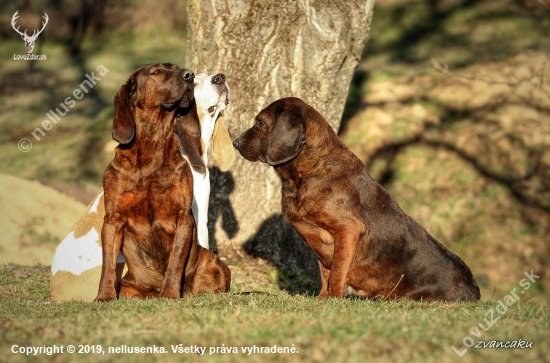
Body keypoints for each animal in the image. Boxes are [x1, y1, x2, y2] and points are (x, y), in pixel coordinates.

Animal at [233, 97, 484, 304]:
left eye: (259, 123)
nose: (234, 142)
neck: (306, 175)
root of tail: (475, 291)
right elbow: (325, 272)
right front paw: (322, 298)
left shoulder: (347, 229)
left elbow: (336, 272)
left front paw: (333, 300)